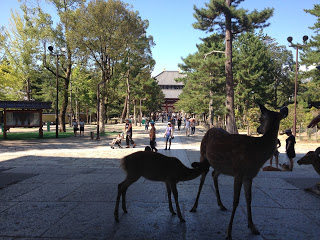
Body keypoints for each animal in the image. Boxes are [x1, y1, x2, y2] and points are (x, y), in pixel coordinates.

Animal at [190, 103, 288, 240]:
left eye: (260, 119)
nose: (258, 129)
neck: (256, 155)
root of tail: (209, 130)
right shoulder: (239, 172)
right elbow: (235, 201)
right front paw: (228, 233)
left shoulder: (249, 176)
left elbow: (249, 199)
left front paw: (253, 227)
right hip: (203, 154)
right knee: (202, 179)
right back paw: (194, 207)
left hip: (220, 166)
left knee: (214, 174)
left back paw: (221, 204)